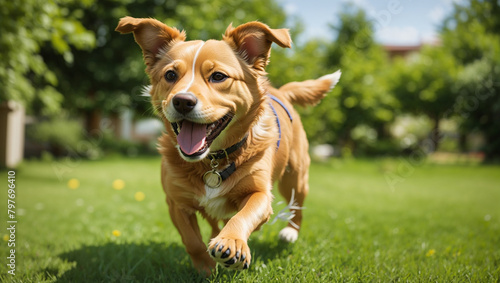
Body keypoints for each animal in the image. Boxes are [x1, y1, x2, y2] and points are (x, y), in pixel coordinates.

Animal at [114, 17, 340, 276]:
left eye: (218, 76)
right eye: (170, 75)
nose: (182, 101)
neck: (212, 159)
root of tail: (281, 91)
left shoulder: (260, 193)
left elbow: (243, 216)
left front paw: (232, 243)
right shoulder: (176, 203)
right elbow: (192, 241)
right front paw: (206, 268)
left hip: (296, 177)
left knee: (298, 207)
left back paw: (290, 232)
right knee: (215, 222)